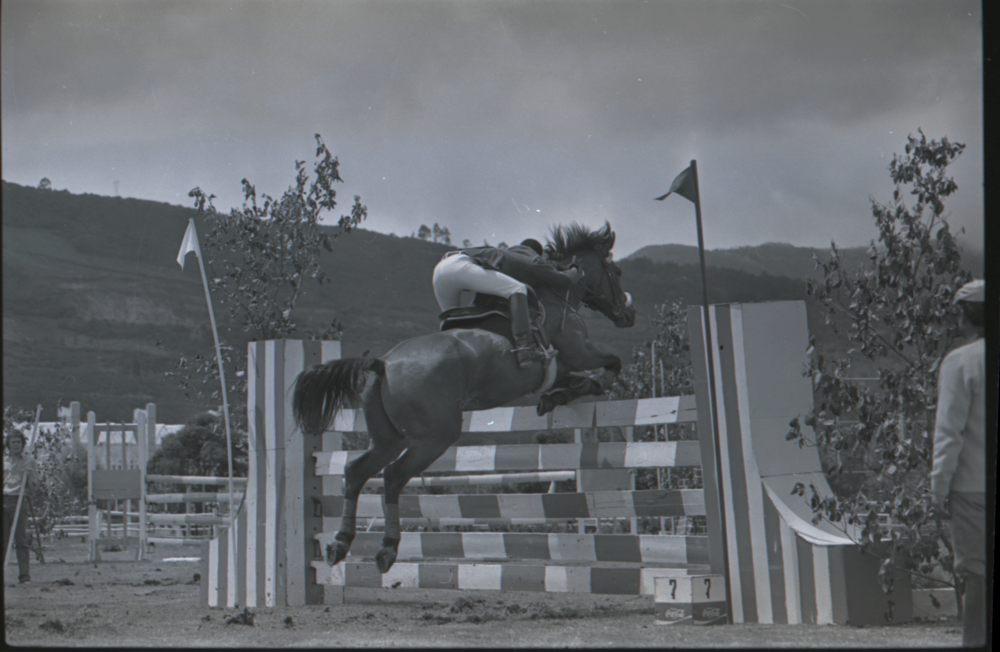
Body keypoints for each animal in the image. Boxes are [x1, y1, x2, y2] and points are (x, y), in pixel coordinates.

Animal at [292, 222, 632, 572]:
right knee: (394, 476)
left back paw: (340, 543)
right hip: (436, 436)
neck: (556, 295)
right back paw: (387, 548)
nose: (628, 314)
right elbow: (612, 363)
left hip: (389, 438)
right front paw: (593, 385)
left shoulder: (561, 367)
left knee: (357, 471)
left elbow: (573, 380)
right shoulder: (578, 352)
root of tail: (383, 363)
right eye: (616, 271)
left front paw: (557, 397)